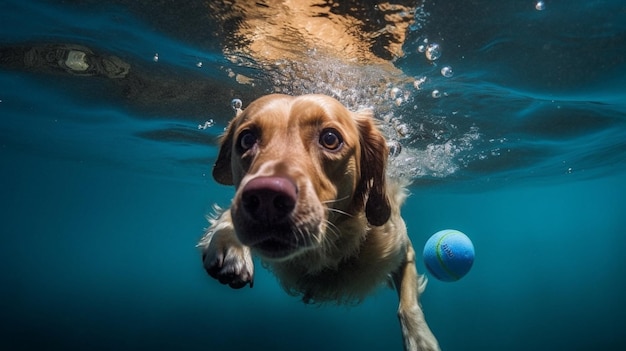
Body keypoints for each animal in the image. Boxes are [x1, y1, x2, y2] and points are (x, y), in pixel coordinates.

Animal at [197, 94, 436, 351]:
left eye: (330, 139)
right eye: (246, 139)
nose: (266, 199)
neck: (323, 253)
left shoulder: (402, 248)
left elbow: (408, 305)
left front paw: (420, 339)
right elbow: (228, 216)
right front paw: (230, 247)